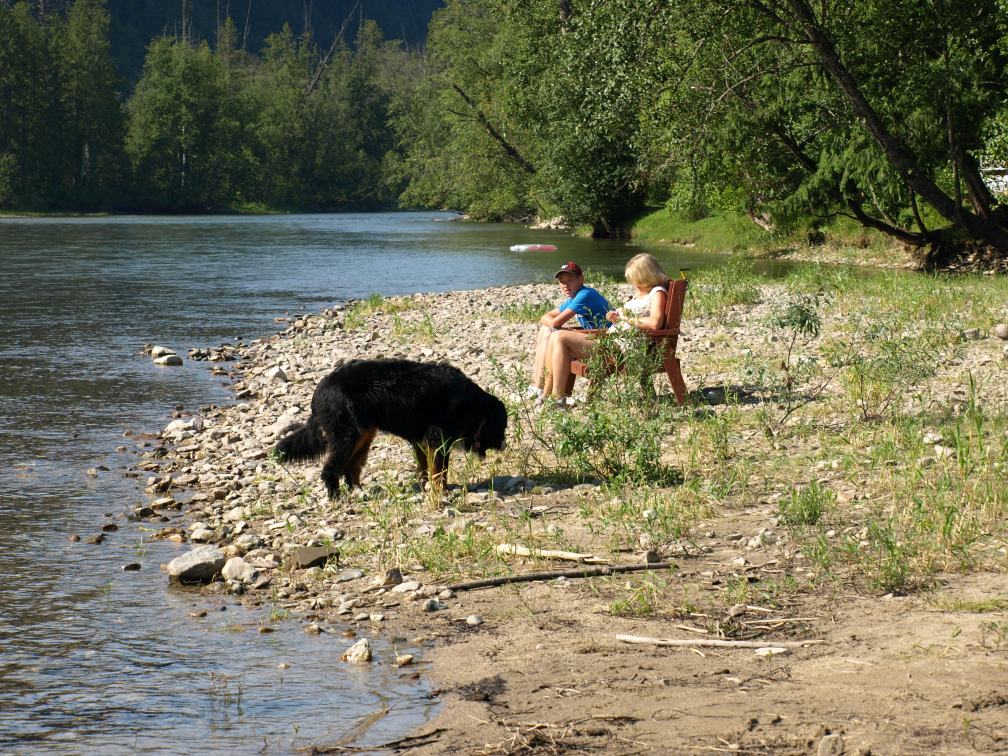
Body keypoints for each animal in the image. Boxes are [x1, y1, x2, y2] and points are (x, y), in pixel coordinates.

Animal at [275, 359, 508, 498]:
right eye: (502, 427)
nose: (505, 445)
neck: (472, 405)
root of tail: (321, 387)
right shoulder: (438, 439)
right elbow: (439, 471)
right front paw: (441, 492)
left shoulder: (421, 441)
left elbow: (426, 469)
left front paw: (427, 487)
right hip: (347, 435)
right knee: (331, 470)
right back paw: (336, 497)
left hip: (363, 434)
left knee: (351, 467)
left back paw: (358, 490)